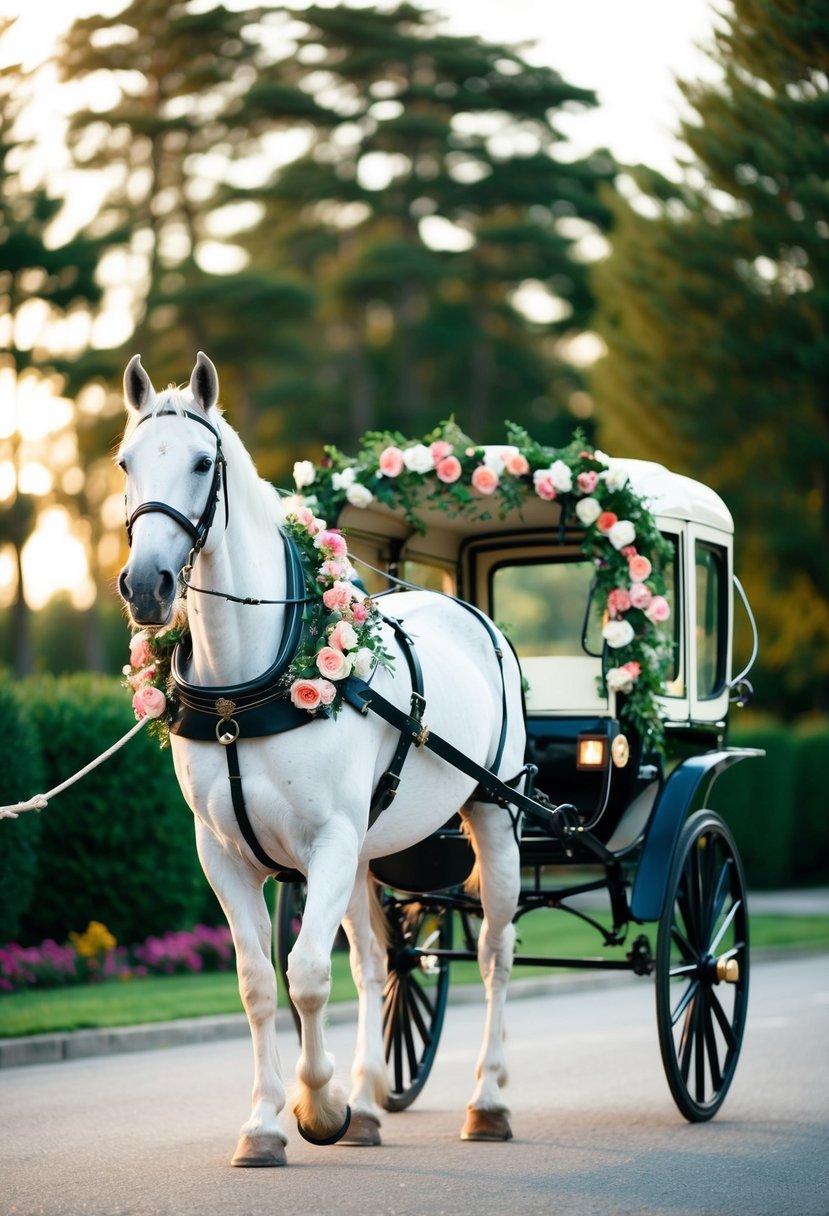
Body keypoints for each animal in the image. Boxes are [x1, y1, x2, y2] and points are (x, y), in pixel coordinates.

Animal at [116, 355, 522, 1167]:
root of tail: (468, 611)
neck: (242, 696)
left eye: (203, 463)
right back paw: (368, 1103)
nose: (146, 586)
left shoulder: (328, 842)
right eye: (126, 463)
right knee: (374, 965)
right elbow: (258, 984)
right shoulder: (224, 854)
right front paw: (266, 1123)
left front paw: (318, 1104)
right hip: (368, 854)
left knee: (495, 953)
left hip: (493, 816)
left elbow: (305, 975)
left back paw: (487, 1101)